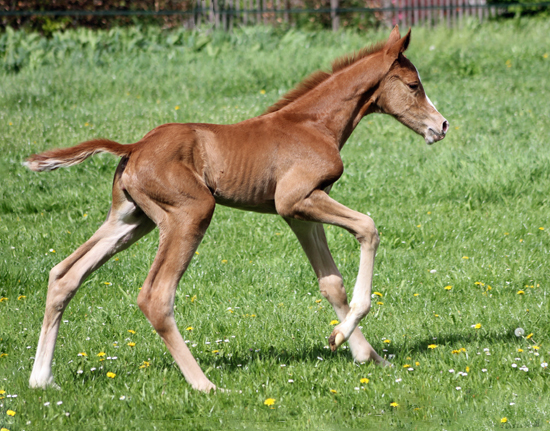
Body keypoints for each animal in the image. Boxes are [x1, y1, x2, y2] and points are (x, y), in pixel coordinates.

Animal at [24, 25, 448, 394]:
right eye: (413, 86)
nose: (441, 125)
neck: (313, 124)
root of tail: (134, 147)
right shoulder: (297, 199)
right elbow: (368, 228)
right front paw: (346, 337)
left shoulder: (299, 212)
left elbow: (330, 282)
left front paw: (365, 354)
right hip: (189, 213)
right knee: (155, 296)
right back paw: (205, 385)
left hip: (131, 219)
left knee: (64, 275)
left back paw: (41, 380)